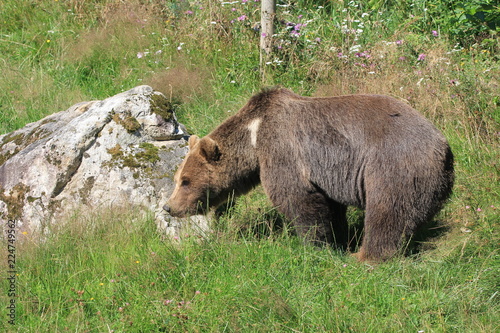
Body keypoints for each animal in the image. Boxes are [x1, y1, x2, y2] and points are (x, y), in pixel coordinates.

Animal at [166, 87, 456, 260]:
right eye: (177, 179)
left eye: (186, 181)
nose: (169, 207)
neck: (253, 138)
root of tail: (443, 145)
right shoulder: (330, 172)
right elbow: (331, 205)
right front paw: (338, 239)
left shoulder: (282, 148)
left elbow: (297, 197)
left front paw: (316, 246)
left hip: (393, 166)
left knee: (387, 213)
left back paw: (366, 257)